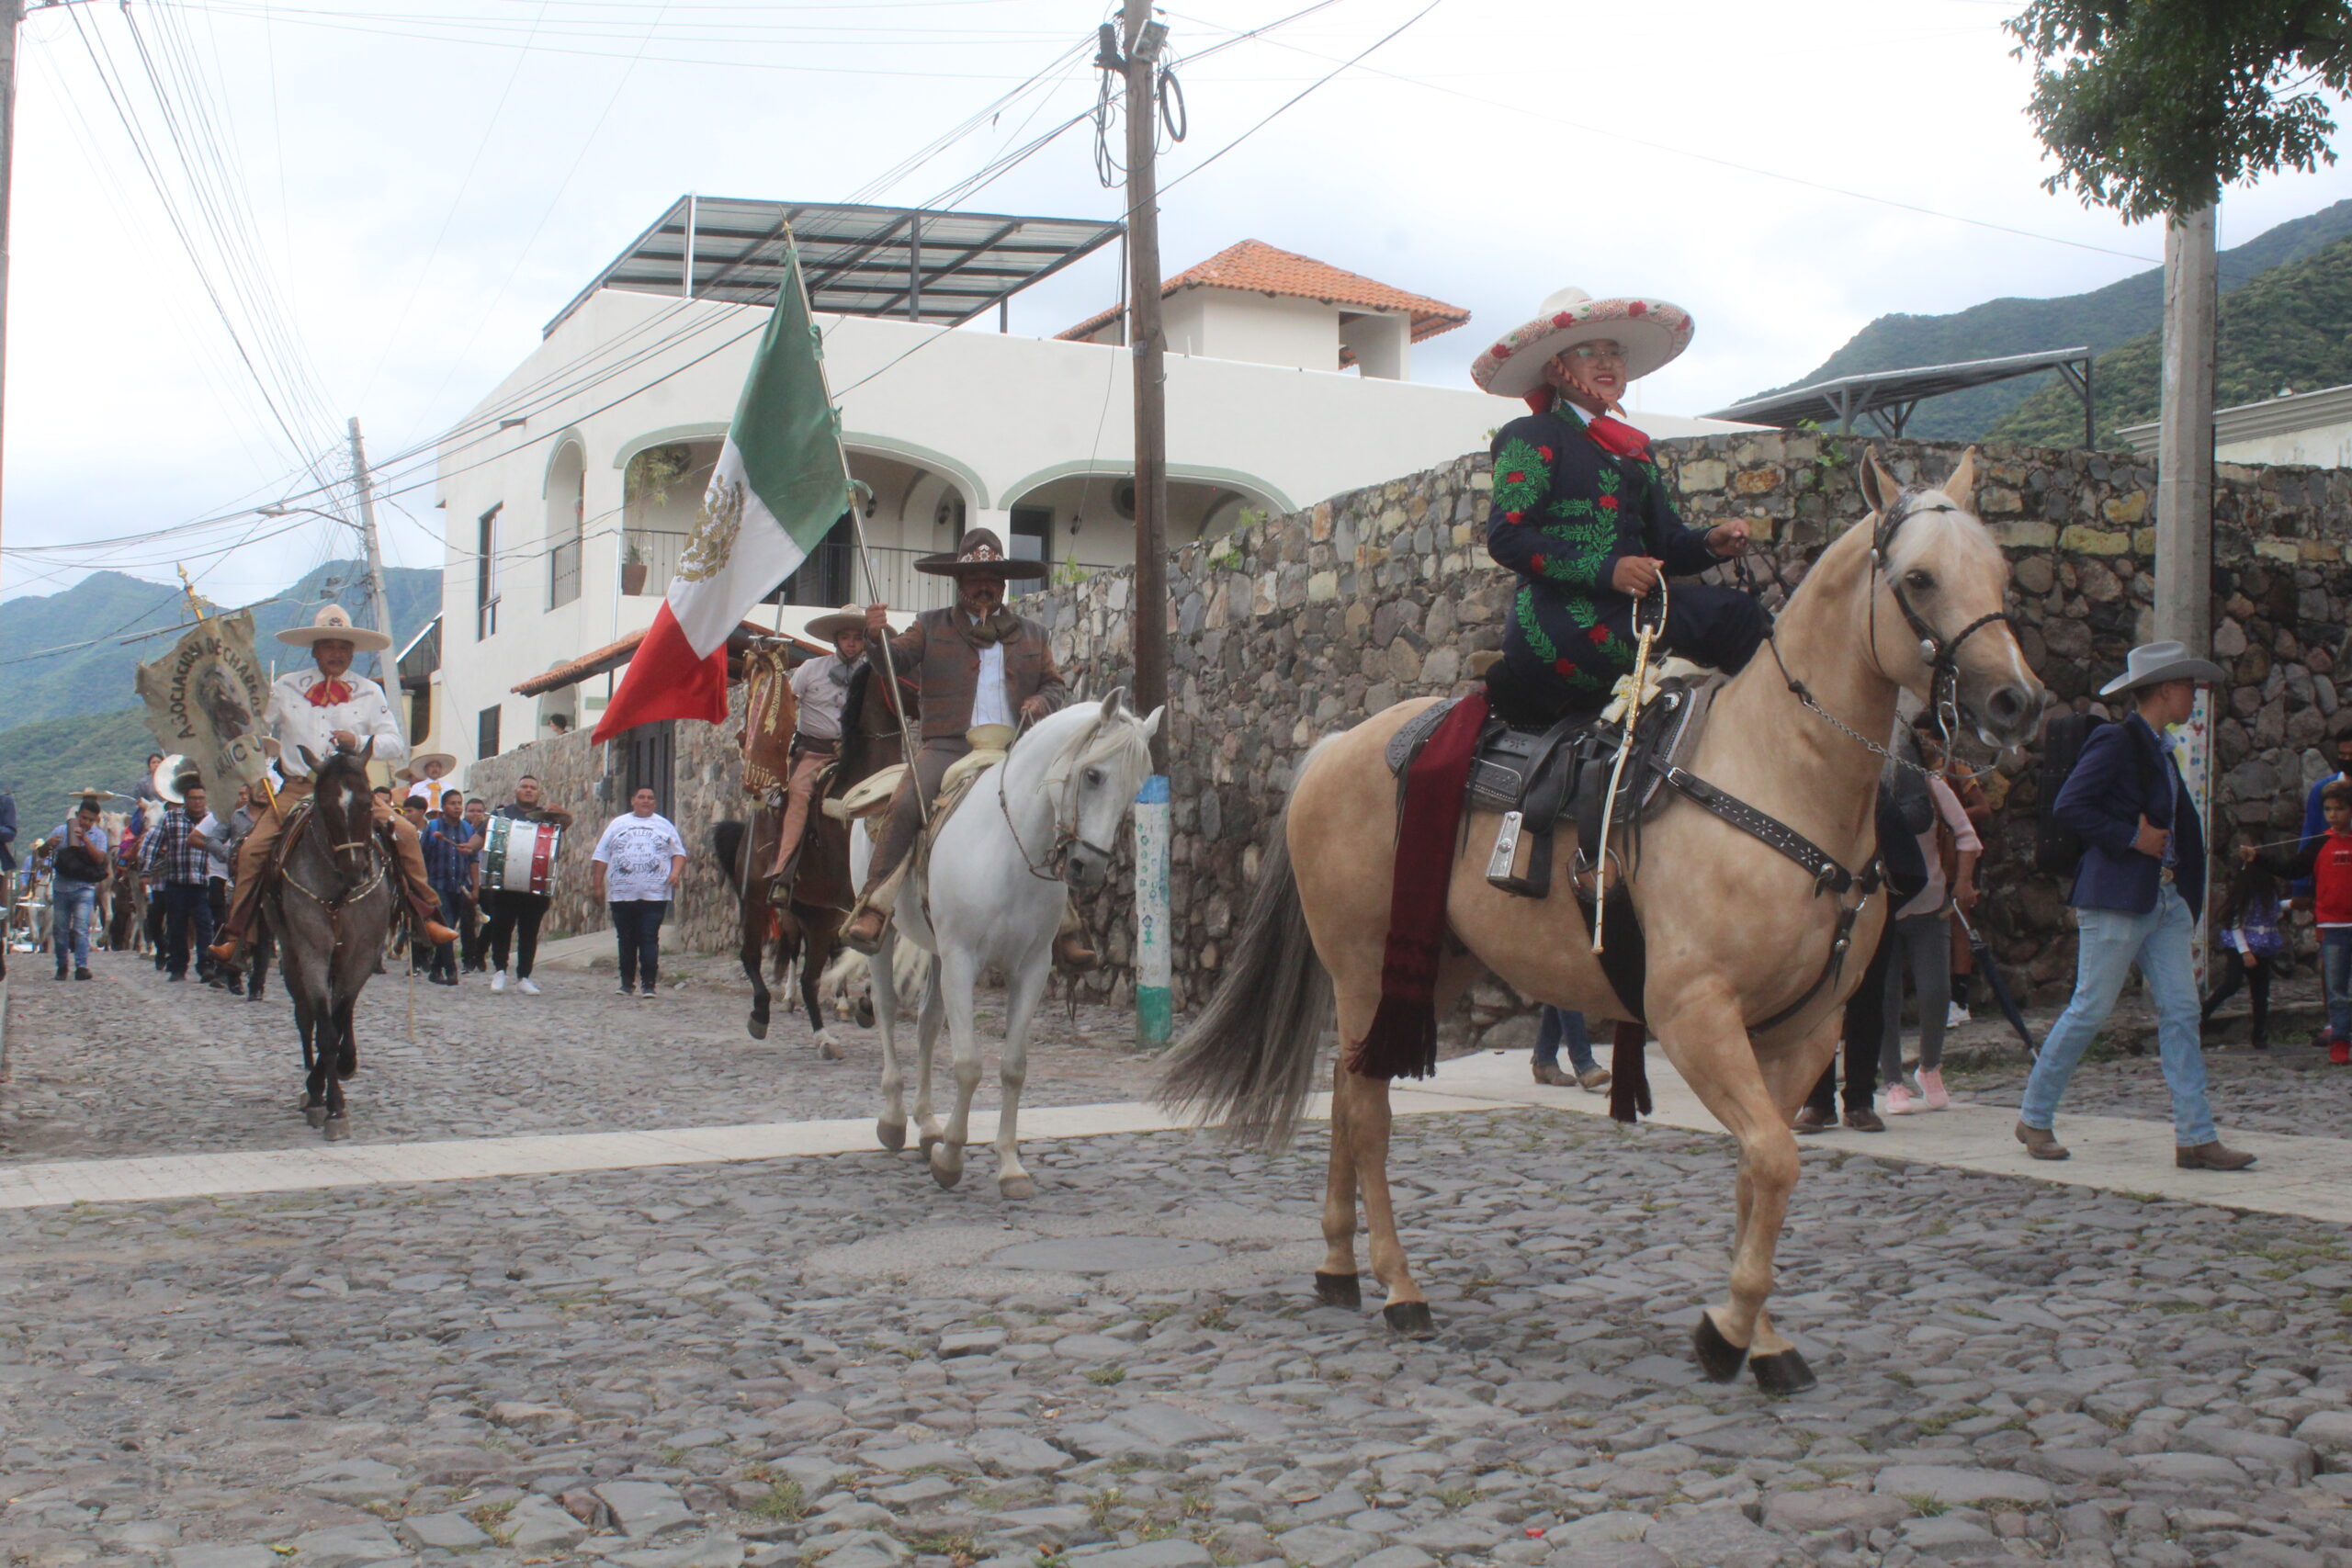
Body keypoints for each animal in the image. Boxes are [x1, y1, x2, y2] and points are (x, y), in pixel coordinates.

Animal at [269, 747, 397, 1142]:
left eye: (368, 803)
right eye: (324, 807)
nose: (357, 870)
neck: (339, 891)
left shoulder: (363, 953)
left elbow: (340, 1019)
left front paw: (342, 1068)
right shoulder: (311, 951)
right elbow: (324, 1029)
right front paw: (331, 1105)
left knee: (344, 1010)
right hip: (291, 955)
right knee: (306, 1016)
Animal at [870, 691, 1161, 1203]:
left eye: (1137, 787)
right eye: (1093, 775)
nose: (1087, 867)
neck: (1007, 847)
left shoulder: (1030, 968)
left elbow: (1013, 1067)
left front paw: (1008, 1166)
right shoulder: (963, 961)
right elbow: (969, 1064)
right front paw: (951, 1159)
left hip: (938, 954)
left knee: (927, 1025)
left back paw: (927, 1126)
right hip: (886, 938)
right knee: (886, 1010)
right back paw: (893, 1120)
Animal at [1166, 446, 2051, 1392]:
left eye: (2000, 572)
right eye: (1918, 577)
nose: (2016, 702)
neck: (1779, 773)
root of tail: (1335, 747)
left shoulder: (1803, 1028)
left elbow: (1762, 1169)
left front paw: (1762, 1336)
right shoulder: (1693, 1012)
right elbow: (1774, 1157)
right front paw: (1727, 1329)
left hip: (1424, 967)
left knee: (1346, 1089)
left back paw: (1338, 1265)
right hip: (1367, 964)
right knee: (1368, 1113)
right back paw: (1402, 1287)